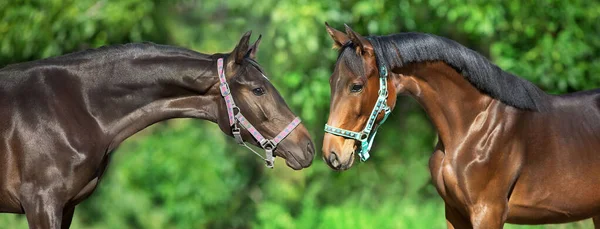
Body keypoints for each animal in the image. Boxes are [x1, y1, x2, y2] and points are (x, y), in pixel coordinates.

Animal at [322, 23, 600, 229]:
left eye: (356, 86)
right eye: (331, 82)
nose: (331, 153)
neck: (474, 128)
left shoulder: (488, 212)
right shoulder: (454, 211)